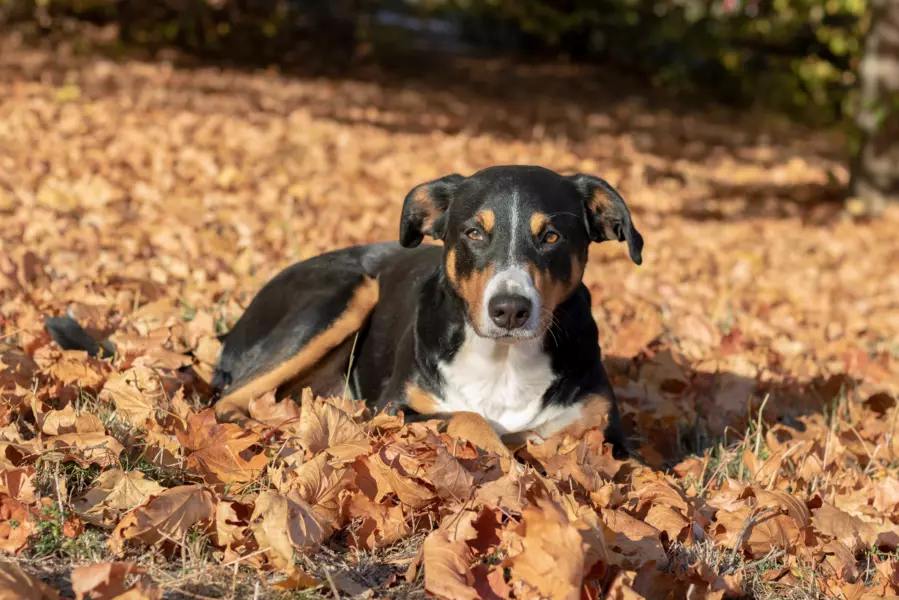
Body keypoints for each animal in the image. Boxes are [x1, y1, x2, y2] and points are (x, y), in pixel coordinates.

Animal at [209, 166, 648, 458]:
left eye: (552, 237)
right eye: (474, 233)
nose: (509, 309)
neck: (503, 363)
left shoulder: (608, 433)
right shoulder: (395, 410)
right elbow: (467, 418)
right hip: (347, 293)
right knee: (227, 402)